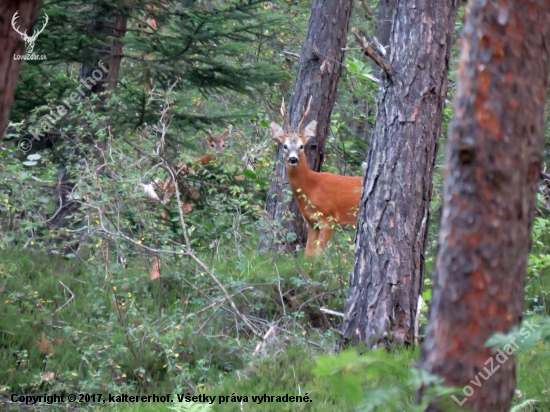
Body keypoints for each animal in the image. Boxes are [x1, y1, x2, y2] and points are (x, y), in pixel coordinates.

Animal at [270, 98, 364, 256]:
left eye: (302, 146)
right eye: (285, 146)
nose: (293, 159)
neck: (312, 187)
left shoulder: (329, 218)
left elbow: (319, 255)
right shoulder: (311, 222)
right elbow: (308, 255)